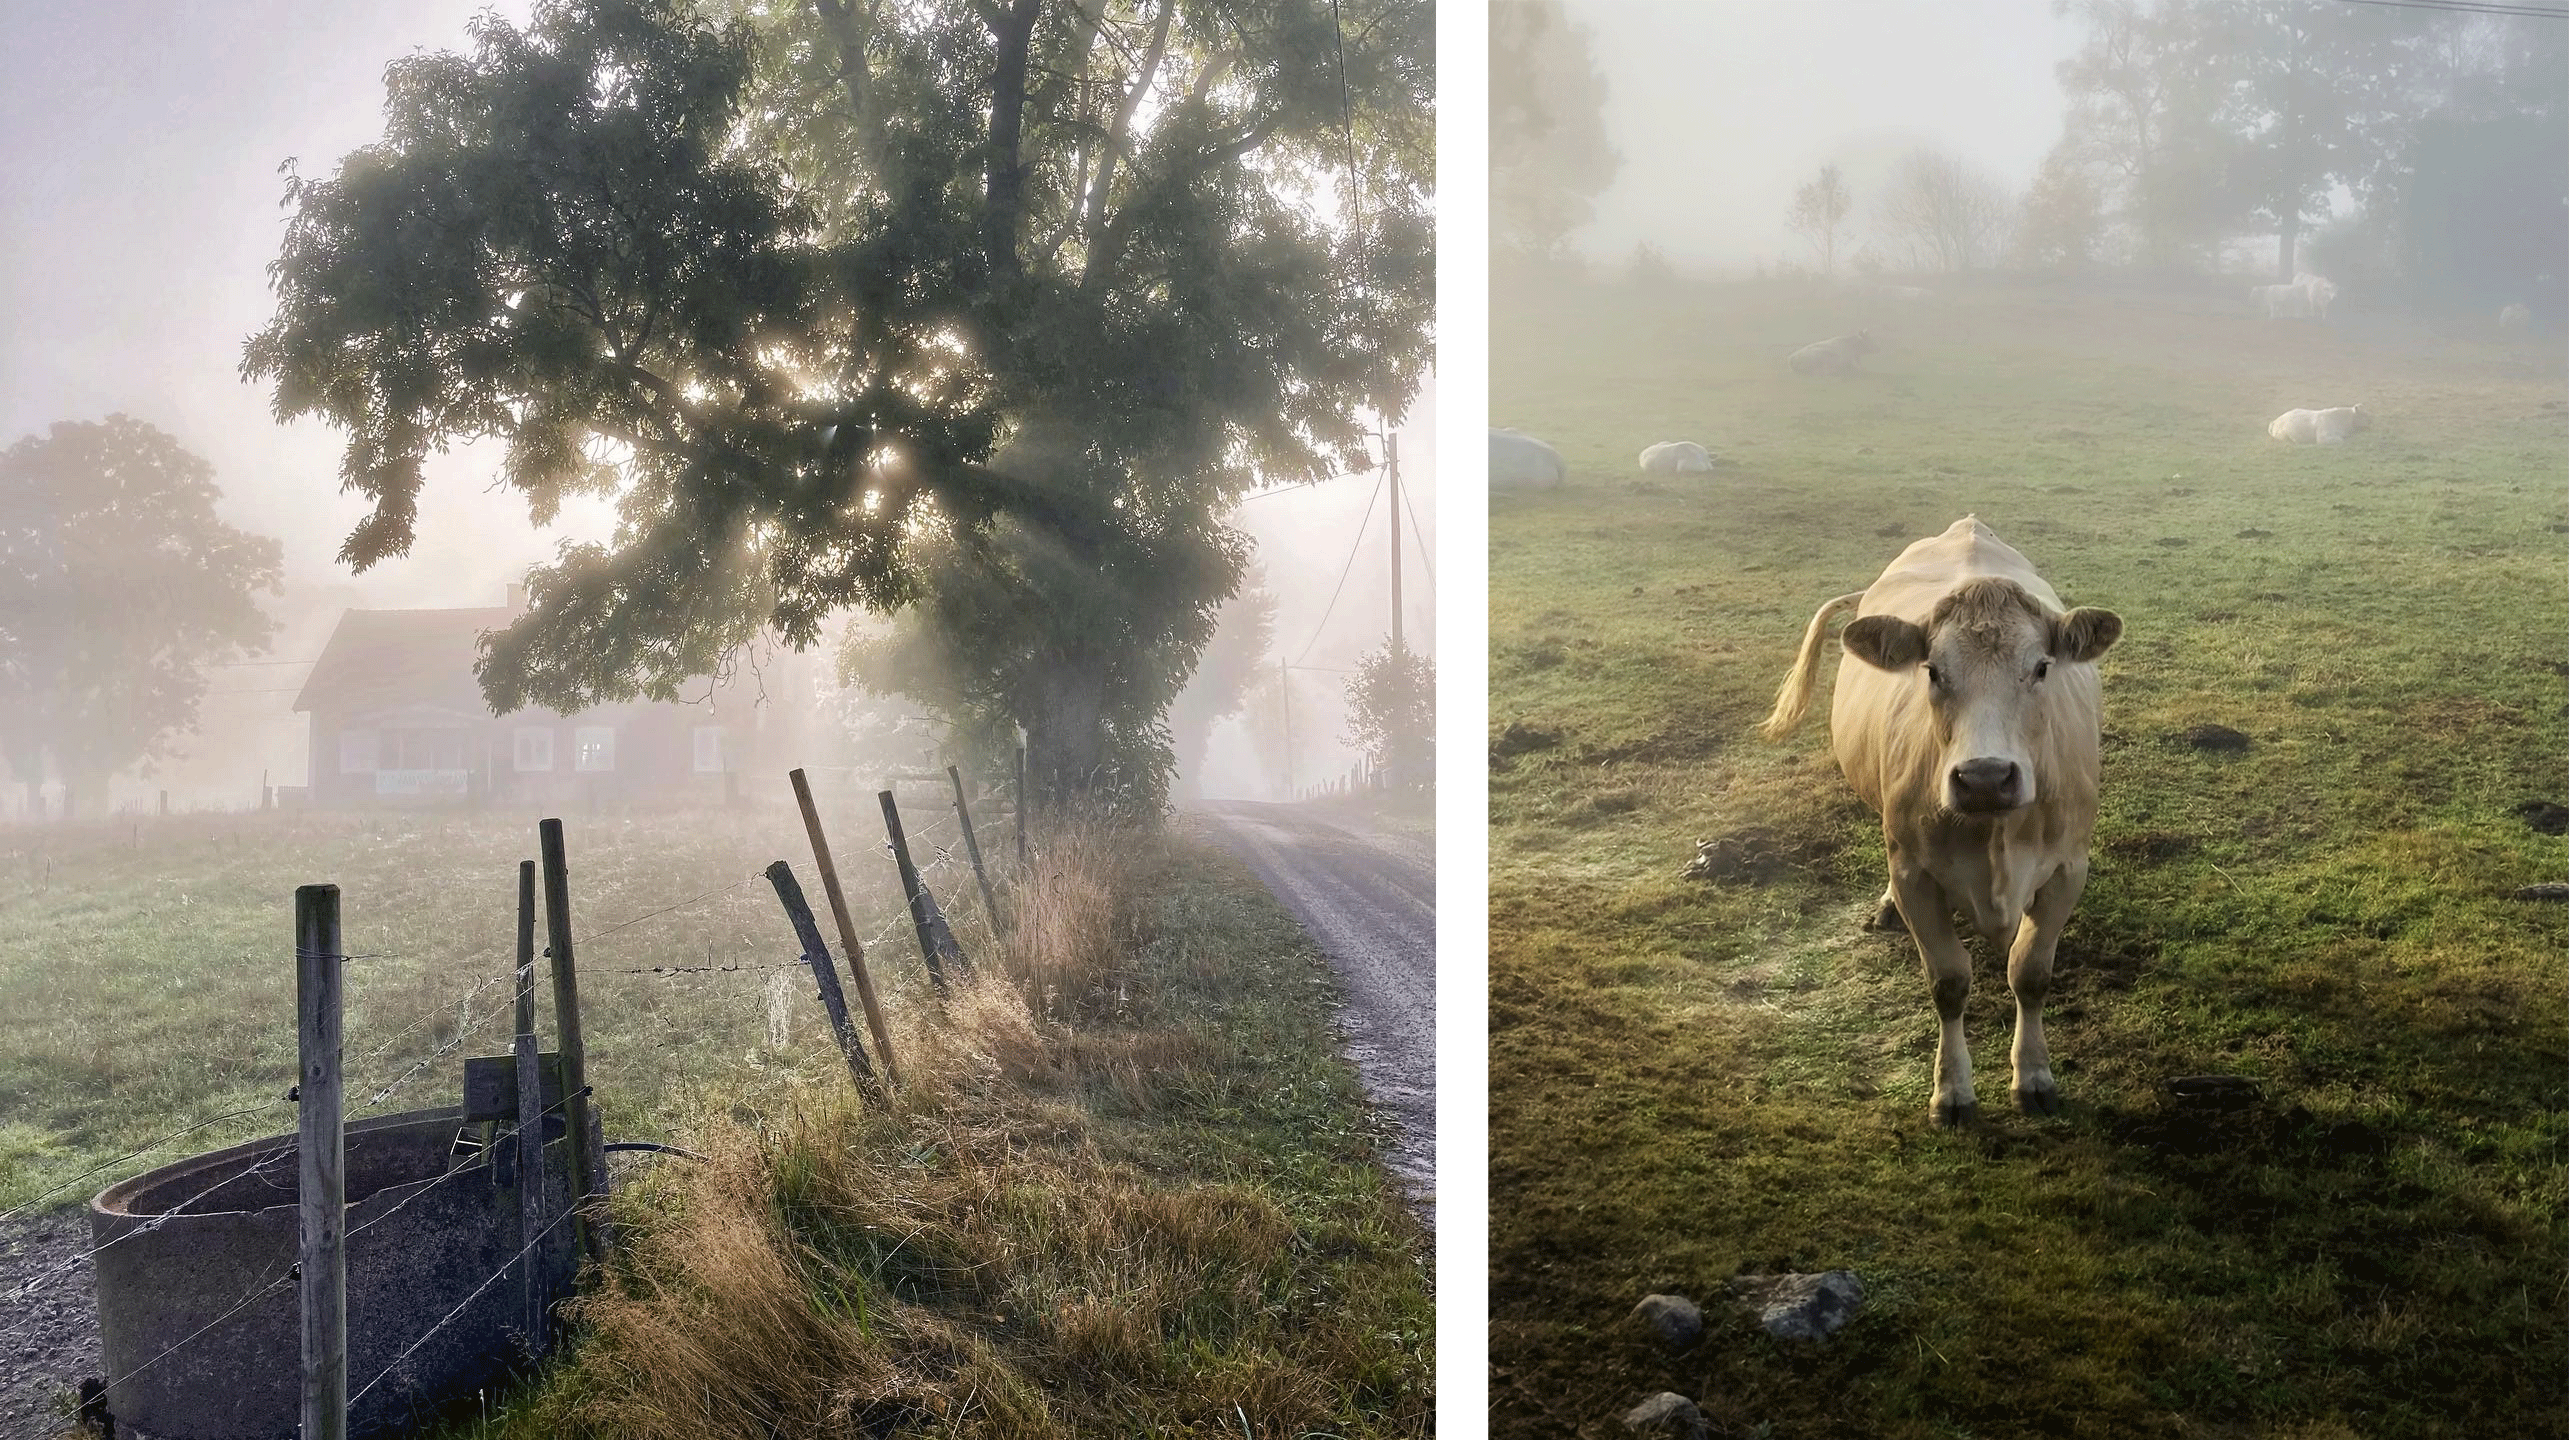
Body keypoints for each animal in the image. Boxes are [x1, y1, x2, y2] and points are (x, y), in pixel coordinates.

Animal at [1767, 515, 2127, 1124]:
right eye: (1932, 671)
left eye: (2042, 667)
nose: (1985, 777)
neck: (1995, 836)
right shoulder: (1916, 875)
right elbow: (1949, 982)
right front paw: (1952, 1090)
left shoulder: (2068, 868)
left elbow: (2030, 973)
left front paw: (2033, 1076)